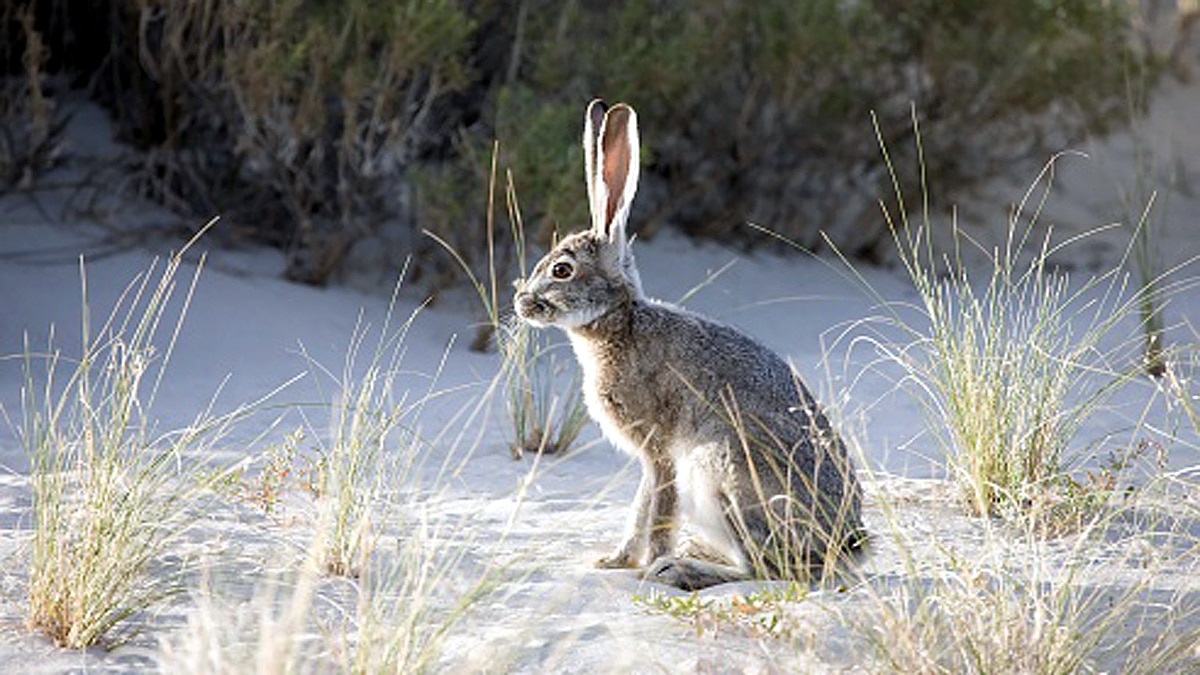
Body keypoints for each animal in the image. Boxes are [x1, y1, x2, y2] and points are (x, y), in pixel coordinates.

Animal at [513, 100, 864, 590]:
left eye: (561, 270)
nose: (522, 301)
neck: (622, 324)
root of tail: (845, 545)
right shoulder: (651, 459)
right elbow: (641, 508)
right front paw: (615, 561)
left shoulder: (660, 450)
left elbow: (658, 510)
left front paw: (644, 564)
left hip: (725, 471)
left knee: (766, 567)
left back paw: (681, 567)